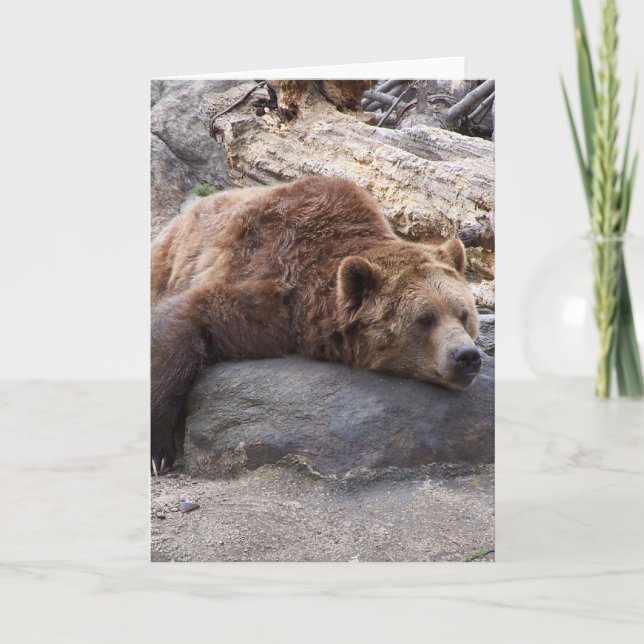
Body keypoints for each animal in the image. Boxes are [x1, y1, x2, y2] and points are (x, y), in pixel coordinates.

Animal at [151, 176, 482, 473]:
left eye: (463, 314)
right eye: (425, 319)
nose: (466, 356)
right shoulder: (271, 288)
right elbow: (188, 315)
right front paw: (159, 452)